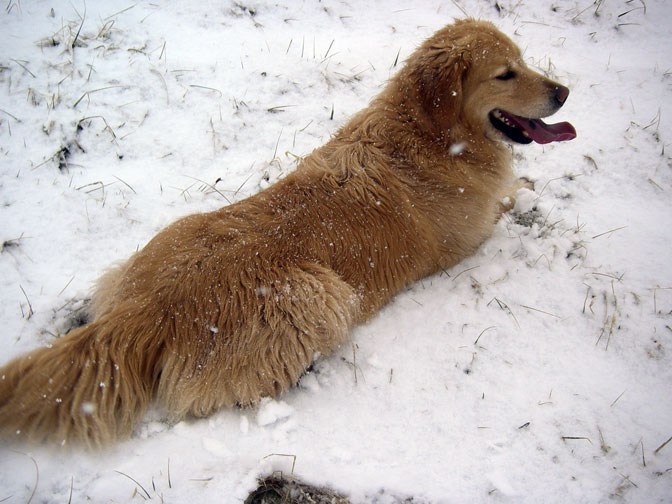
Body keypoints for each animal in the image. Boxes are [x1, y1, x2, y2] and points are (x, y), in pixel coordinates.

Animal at [0, 17, 576, 446]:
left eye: (523, 61)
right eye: (505, 73)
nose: (565, 92)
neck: (431, 132)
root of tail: (146, 309)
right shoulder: (471, 235)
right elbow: (510, 196)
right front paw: (529, 193)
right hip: (320, 294)